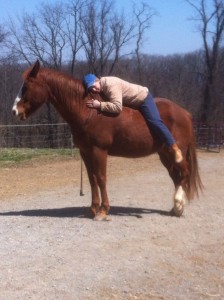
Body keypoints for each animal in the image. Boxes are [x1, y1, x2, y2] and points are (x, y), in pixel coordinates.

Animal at [11, 60, 203, 220]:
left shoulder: (99, 151)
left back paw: (178, 205)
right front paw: (92, 209)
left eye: (26, 86)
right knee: (176, 175)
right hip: (164, 154)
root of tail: (185, 113)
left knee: (184, 173)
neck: (90, 112)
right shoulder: (86, 152)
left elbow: (102, 178)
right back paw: (175, 208)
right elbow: (92, 179)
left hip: (175, 152)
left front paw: (103, 211)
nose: (14, 111)